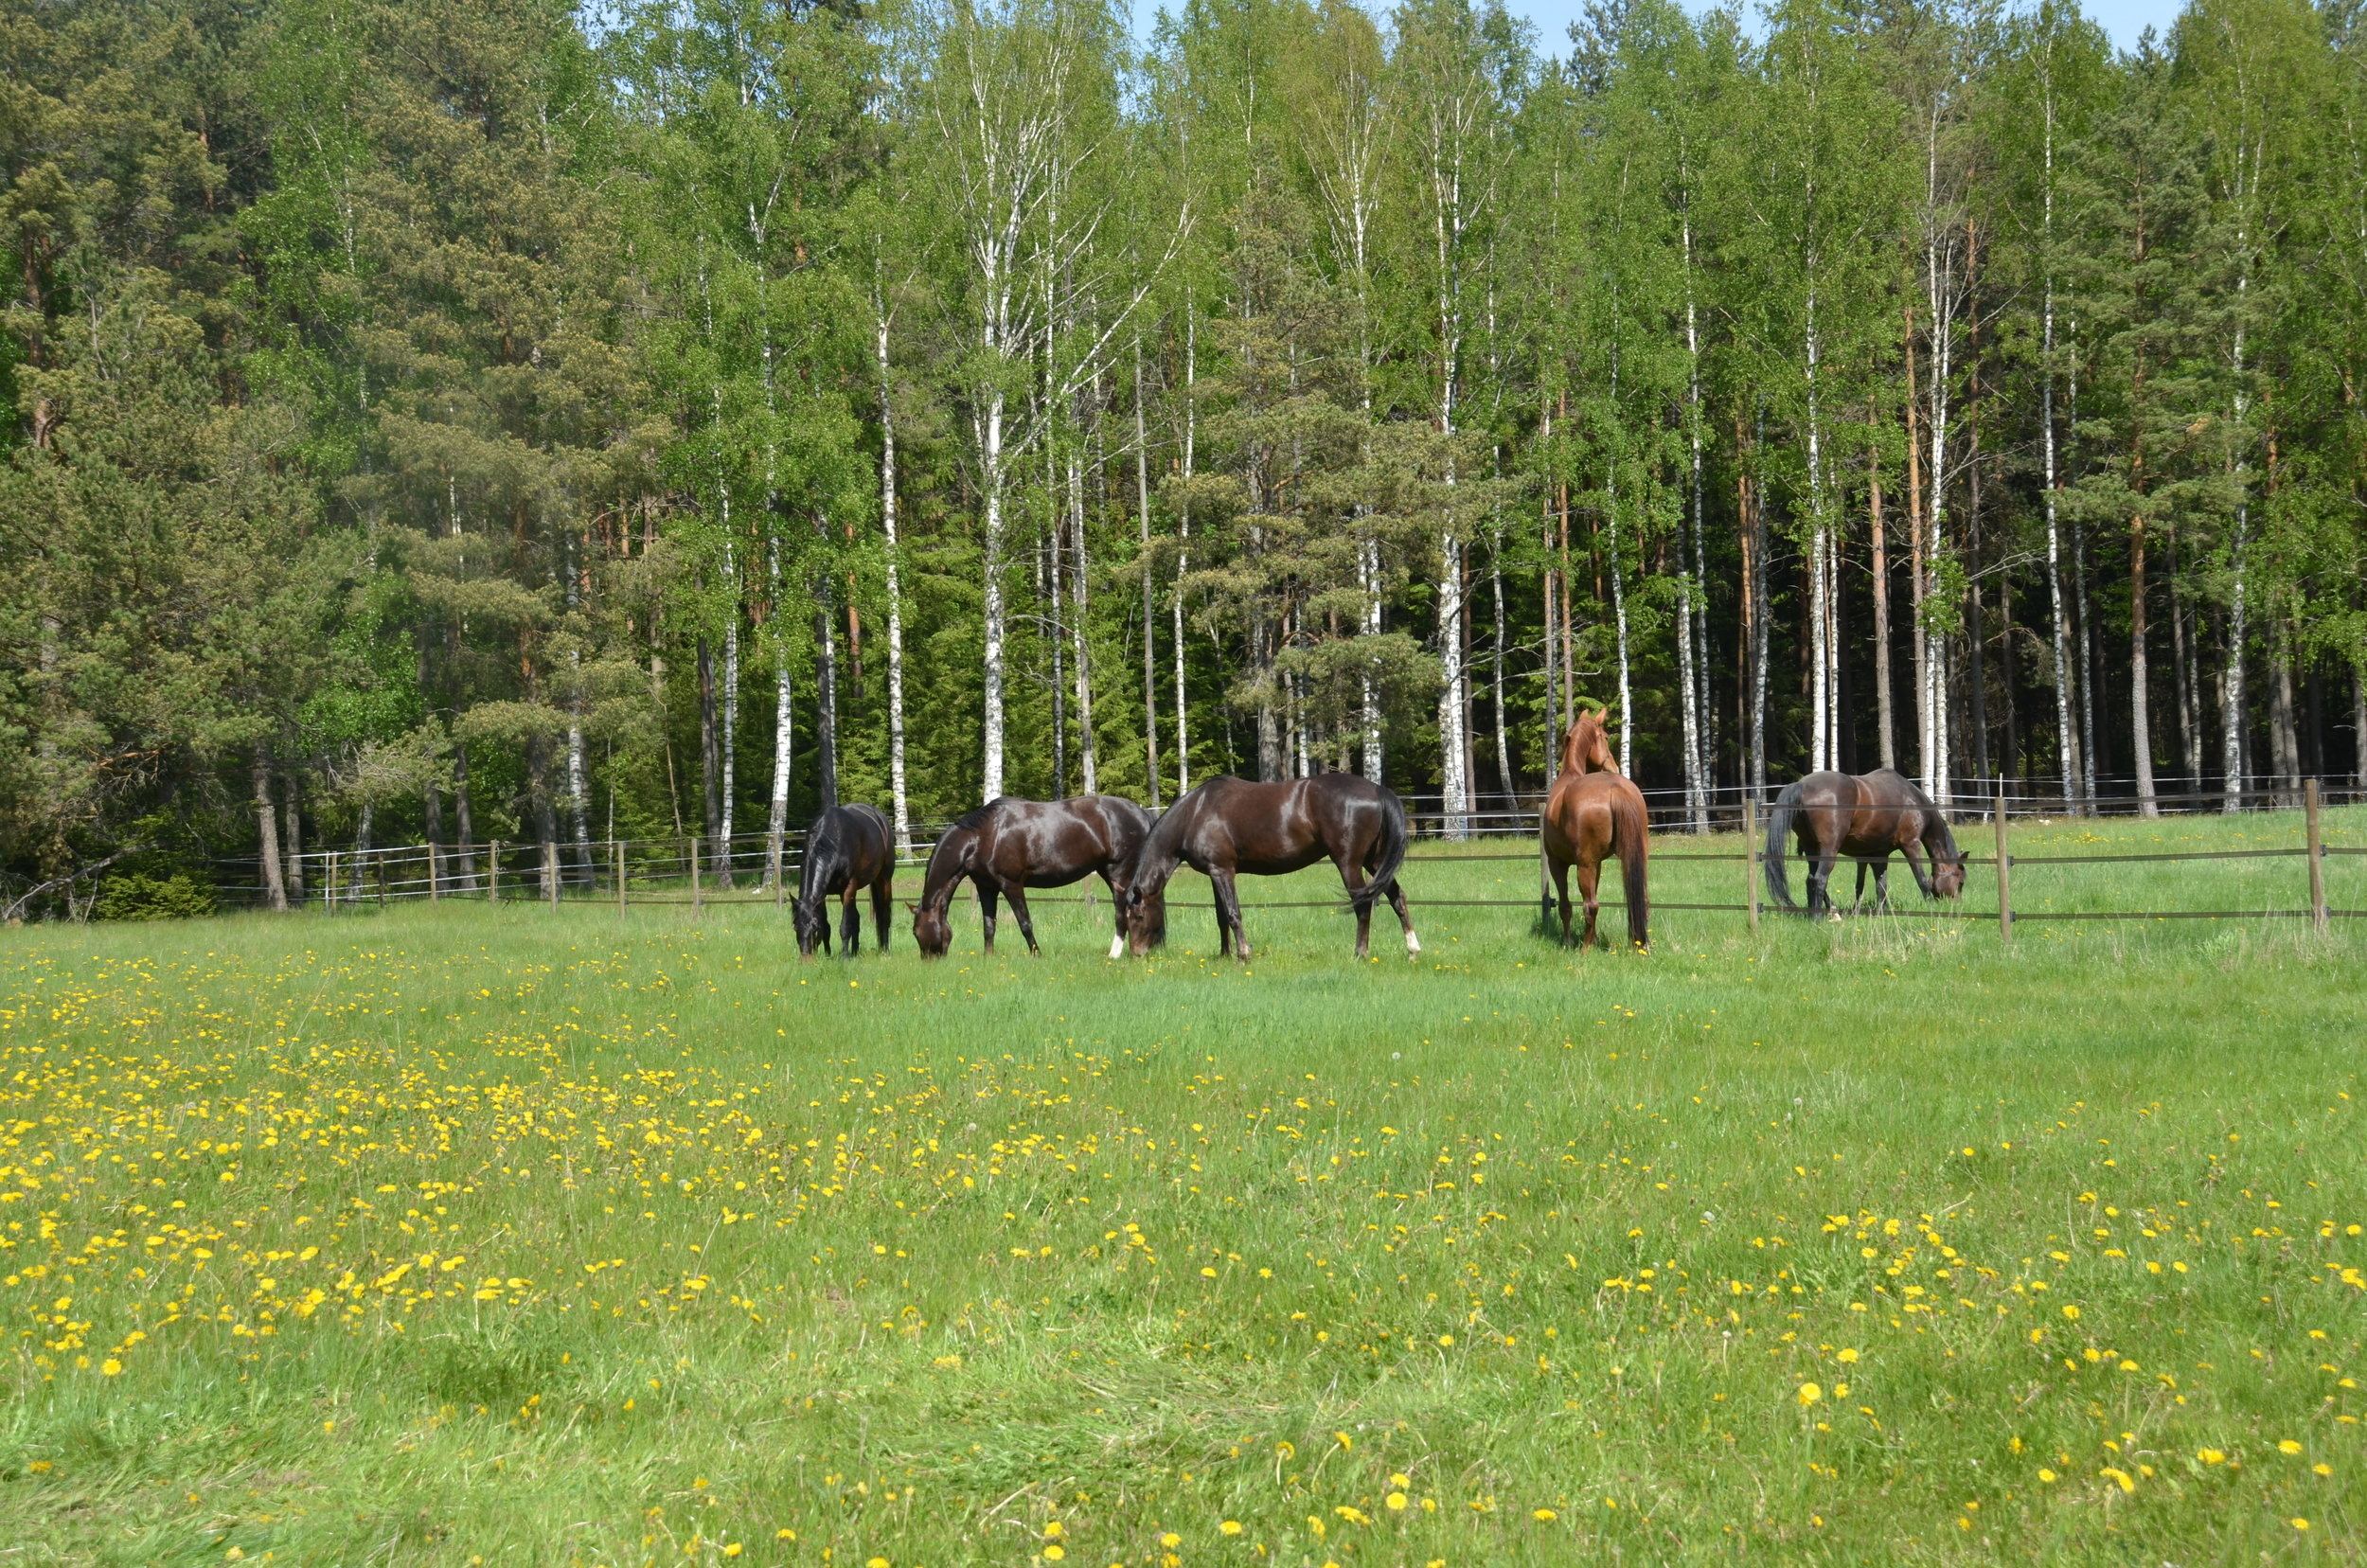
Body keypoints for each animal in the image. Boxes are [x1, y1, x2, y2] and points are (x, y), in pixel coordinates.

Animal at [800, 805, 899, 966]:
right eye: (795, 926)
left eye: (814, 929)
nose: (805, 960)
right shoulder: (822, 895)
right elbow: (828, 926)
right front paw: (828, 955)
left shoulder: (848, 889)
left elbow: (845, 926)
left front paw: (845, 957)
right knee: (856, 918)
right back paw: (855, 951)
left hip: (884, 880)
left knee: (884, 915)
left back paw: (884, 950)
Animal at [904, 800, 1165, 956]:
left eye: (916, 932)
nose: (930, 960)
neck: (983, 837)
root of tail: (1141, 813)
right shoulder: (986, 888)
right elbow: (989, 925)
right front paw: (989, 957)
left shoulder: (1011, 885)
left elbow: (1024, 922)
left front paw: (1036, 954)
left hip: (1119, 874)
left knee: (1124, 913)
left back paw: (1115, 954)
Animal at [1112, 772, 1411, 956]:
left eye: (1138, 916)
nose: (1137, 954)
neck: (1195, 814)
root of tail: (1377, 790)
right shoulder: (1214, 873)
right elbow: (1221, 916)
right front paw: (1225, 955)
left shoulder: (1223, 871)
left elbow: (1233, 913)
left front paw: (1243, 954)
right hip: (1376, 861)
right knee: (1397, 896)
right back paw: (1412, 950)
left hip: (1349, 863)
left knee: (1363, 905)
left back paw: (1360, 953)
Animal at [1534, 715, 1647, 956]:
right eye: (1605, 737)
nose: (1614, 766)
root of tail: (1616, 787)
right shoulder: (1598, 863)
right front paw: (1594, 939)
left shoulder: (1559, 863)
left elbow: (1566, 906)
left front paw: (1568, 941)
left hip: (1582, 866)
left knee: (1590, 906)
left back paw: (1584, 950)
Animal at [1771, 767, 1969, 914]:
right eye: (1960, 883)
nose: (1958, 906)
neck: (1911, 800)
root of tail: (1802, 785)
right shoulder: (1911, 844)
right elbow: (1921, 879)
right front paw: (1931, 908)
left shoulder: (1875, 854)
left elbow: (1875, 885)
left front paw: (1877, 912)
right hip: (1828, 849)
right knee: (1819, 879)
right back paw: (1821, 917)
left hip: (1811, 847)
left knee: (1811, 879)